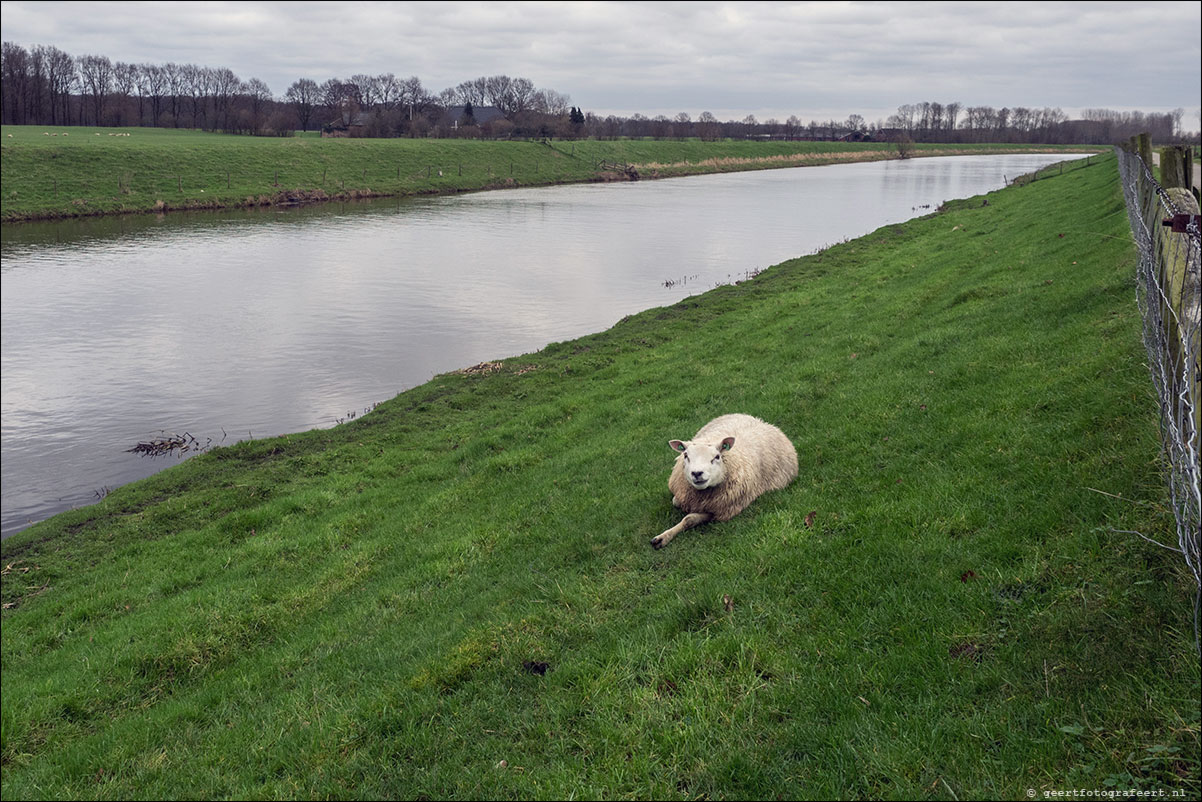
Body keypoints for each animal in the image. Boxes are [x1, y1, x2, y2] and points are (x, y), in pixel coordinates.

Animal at [649, 413, 798, 553]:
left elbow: (689, 519)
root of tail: (762, 422)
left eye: (717, 457)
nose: (697, 473)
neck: (700, 496)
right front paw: (663, 537)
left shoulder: (720, 510)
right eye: (686, 455)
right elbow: (676, 503)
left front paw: (665, 536)